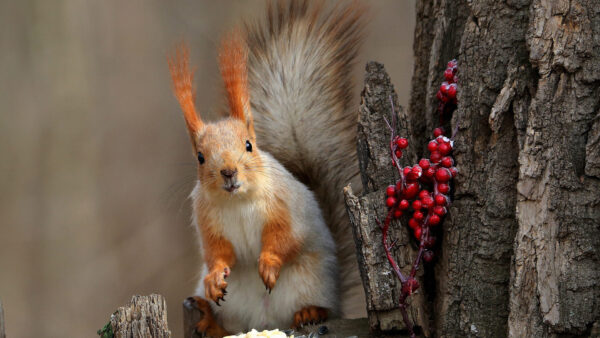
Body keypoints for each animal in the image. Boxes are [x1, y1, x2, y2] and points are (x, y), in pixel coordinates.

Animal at [168, 1, 366, 336]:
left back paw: (310, 312)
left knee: (317, 305)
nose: (228, 172)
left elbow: (284, 238)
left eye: (249, 145)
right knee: (228, 326)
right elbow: (218, 252)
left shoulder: (285, 208)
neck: (237, 201)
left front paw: (270, 263)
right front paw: (215, 277)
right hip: (235, 308)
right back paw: (208, 317)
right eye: (200, 157)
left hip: (311, 280)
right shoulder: (208, 222)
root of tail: (264, 321)